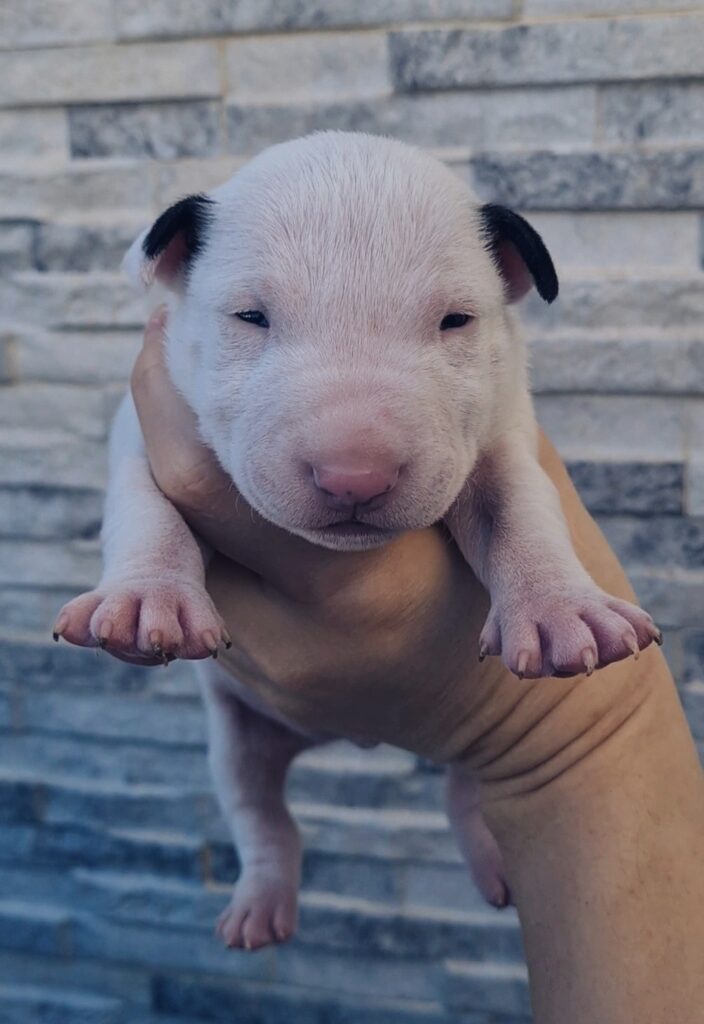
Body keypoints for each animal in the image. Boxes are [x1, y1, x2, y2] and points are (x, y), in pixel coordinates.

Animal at [55, 134, 658, 950]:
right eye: (250, 316)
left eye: (456, 321)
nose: (354, 476)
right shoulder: (144, 431)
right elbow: (145, 510)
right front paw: (146, 600)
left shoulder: (503, 435)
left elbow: (522, 511)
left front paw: (564, 610)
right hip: (238, 743)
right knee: (263, 817)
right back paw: (261, 902)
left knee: (462, 794)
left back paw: (493, 866)